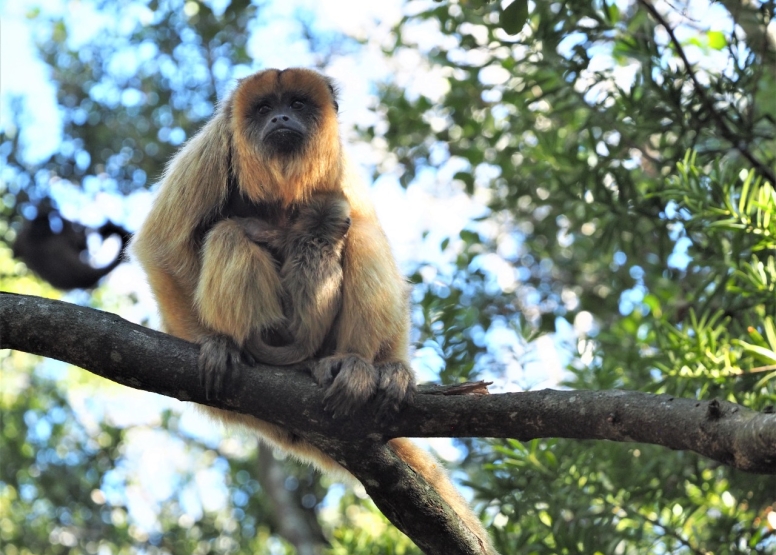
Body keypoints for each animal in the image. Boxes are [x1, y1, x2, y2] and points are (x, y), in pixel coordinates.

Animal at [133, 67, 494, 552]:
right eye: (265, 107)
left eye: (298, 104)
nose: (281, 117)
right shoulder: (212, 148)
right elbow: (162, 246)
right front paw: (215, 343)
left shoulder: (340, 166)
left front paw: (396, 371)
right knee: (227, 234)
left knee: (363, 235)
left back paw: (354, 366)